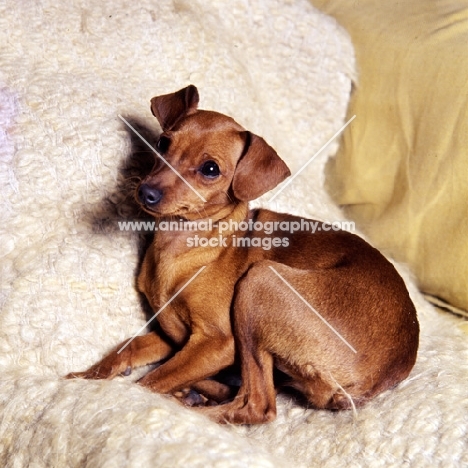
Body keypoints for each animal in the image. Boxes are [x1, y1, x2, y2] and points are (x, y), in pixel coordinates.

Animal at [66, 84, 420, 424]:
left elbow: (149, 382)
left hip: (260, 279)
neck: (182, 248)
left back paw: (194, 403)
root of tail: (382, 378)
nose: (146, 192)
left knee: (258, 406)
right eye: (163, 144)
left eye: (210, 169)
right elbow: (131, 346)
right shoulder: (174, 336)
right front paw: (87, 375)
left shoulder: (217, 343)